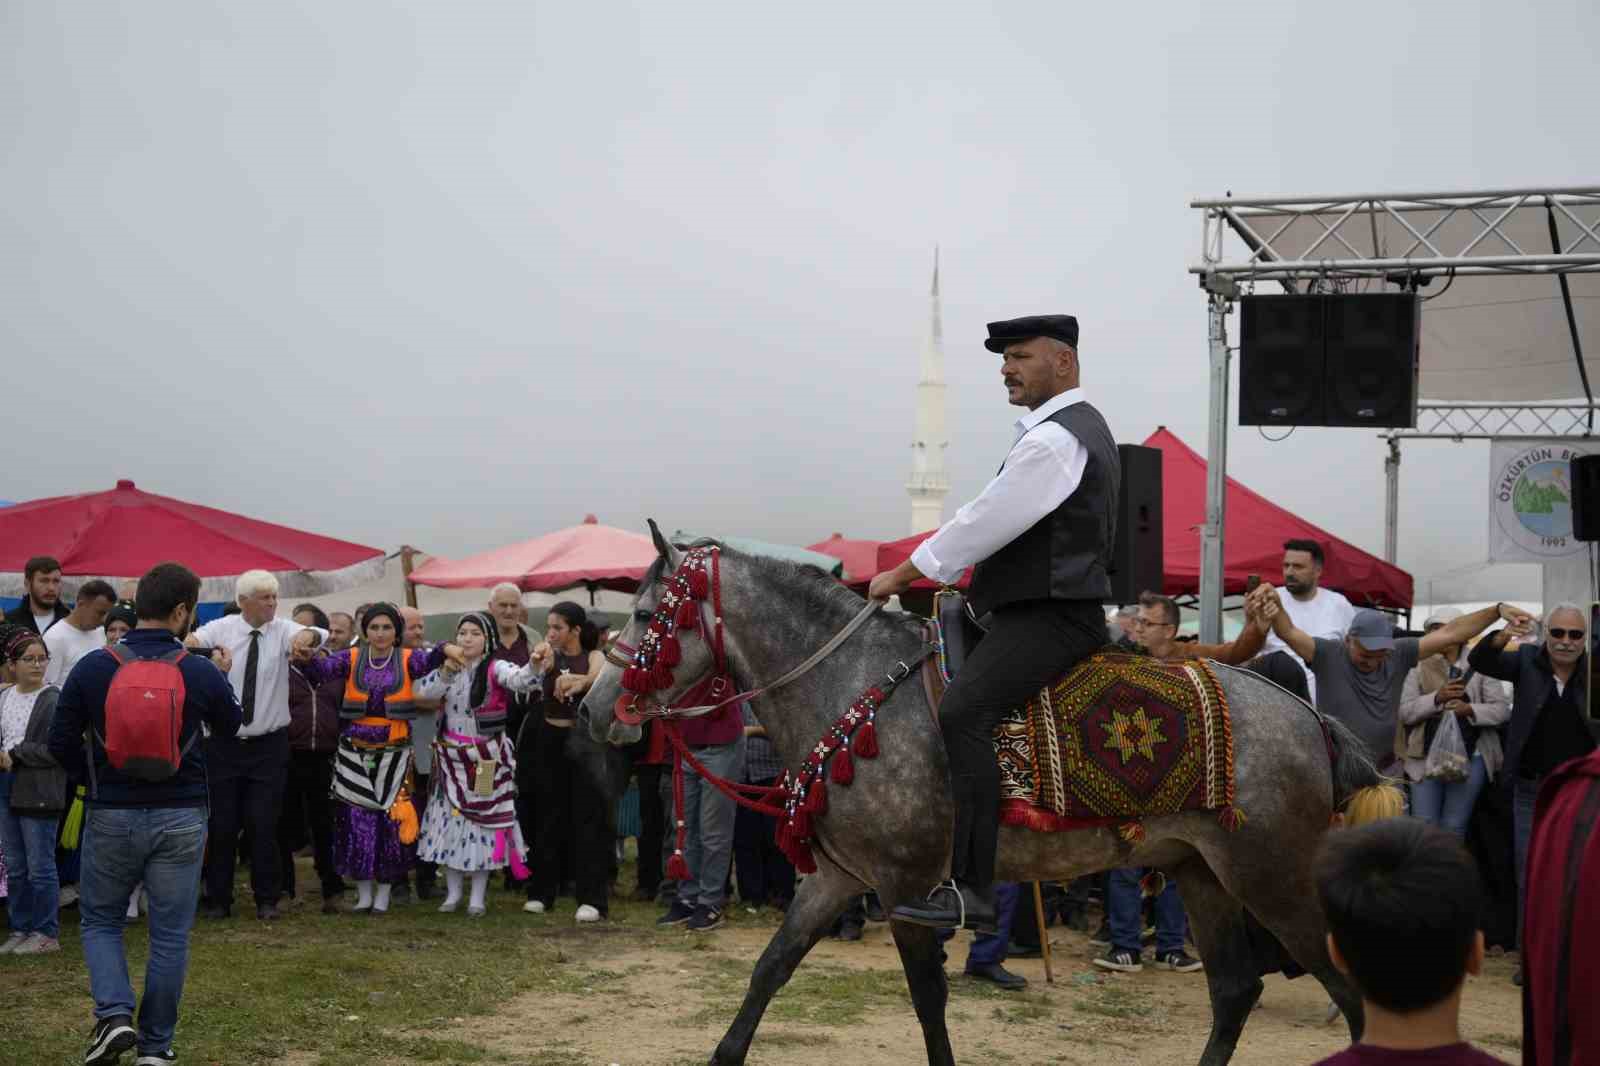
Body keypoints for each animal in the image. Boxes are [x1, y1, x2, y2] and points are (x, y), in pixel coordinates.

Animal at [588, 528, 1376, 1062]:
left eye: (650, 614)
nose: (596, 709)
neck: (852, 684)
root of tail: (1310, 717)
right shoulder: (841, 877)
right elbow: (769, 971)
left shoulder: (907, 886)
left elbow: (928, 1003)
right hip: (1200, 870)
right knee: (1236, 991)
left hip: (1273, 878)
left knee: (1351, 993)